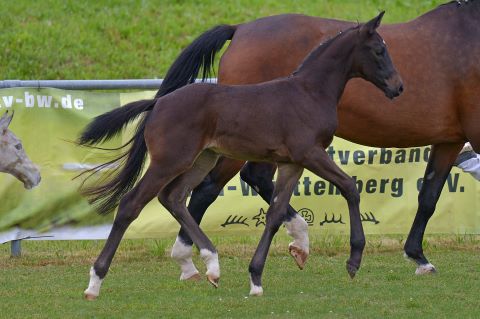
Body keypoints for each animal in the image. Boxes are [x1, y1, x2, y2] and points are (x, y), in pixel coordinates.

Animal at [82, 11, 402, 298]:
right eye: (379, 50)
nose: (398, 87)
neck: (309, 93)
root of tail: (157, 104)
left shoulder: (291, 164)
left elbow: (275, 214)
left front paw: (256, 278)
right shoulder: (310, 153)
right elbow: (349, 186)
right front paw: (354, 259)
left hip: (203, 159)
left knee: (174, 198)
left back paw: (212, 265)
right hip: (169, 161)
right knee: (131, 204)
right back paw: (95, 282)